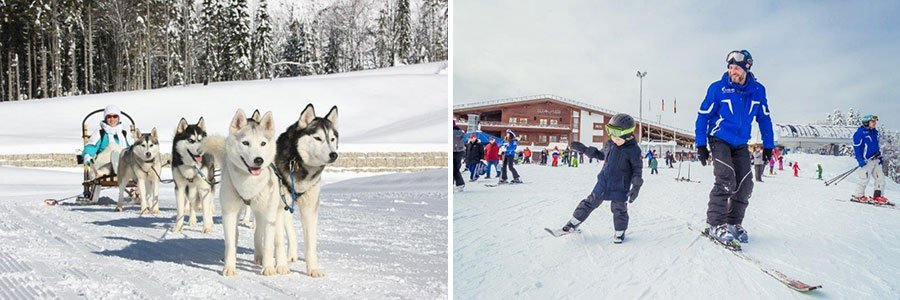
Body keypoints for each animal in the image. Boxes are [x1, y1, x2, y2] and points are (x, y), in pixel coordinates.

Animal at [202, 108, 290, 276]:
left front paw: (268, 268)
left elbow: (269, 245)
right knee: (241, 236)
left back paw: (280, 265)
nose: (258, 160)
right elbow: (230, 243)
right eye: (245, 143)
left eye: (263, 143)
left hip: (274, 214)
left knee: (276, 240)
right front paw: (229, 267)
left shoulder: (269, 215)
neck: (249, 186)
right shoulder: (229, 213)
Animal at [272, 103, 340, 278]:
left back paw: (292, 255)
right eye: (318, 138)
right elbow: (278, 240)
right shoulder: (277, 208)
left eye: (332, 139)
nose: (333, 154)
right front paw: (281, 266)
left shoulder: (310, 208)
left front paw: (313, 269)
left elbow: (310, 243)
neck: (297, 163)